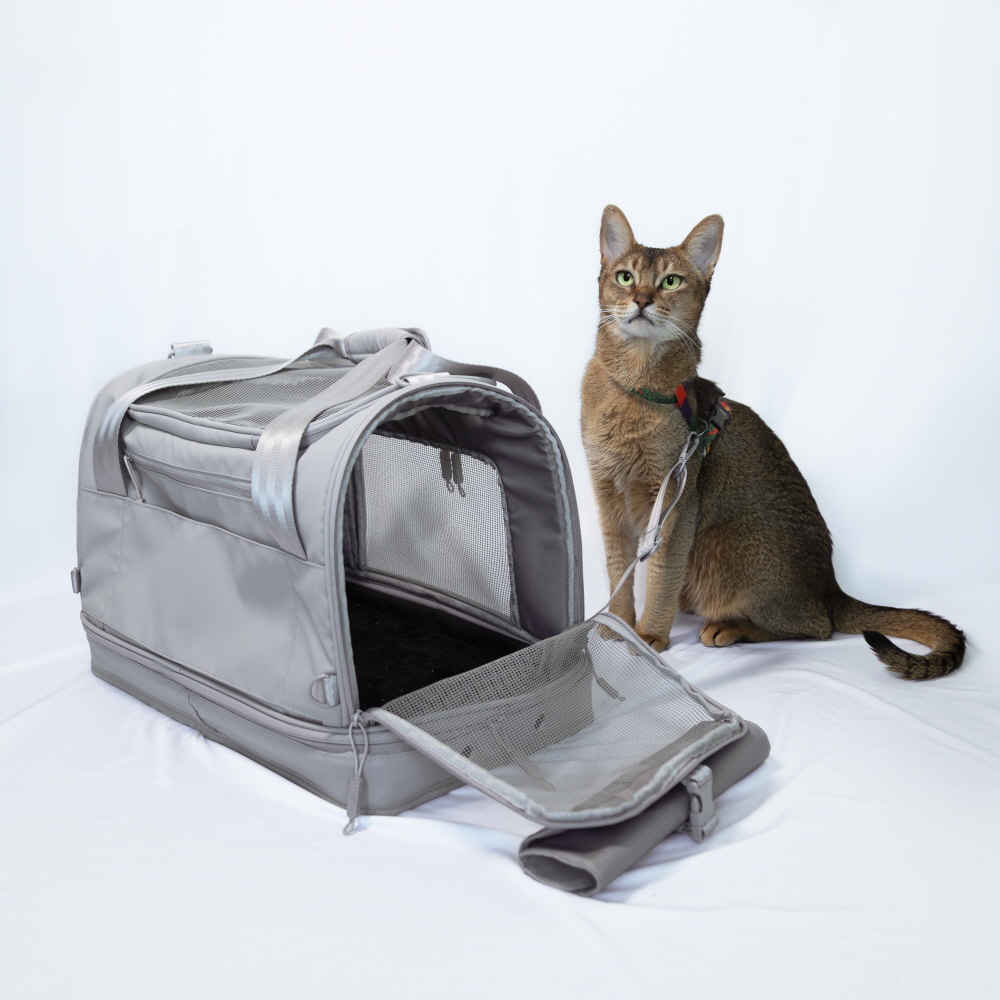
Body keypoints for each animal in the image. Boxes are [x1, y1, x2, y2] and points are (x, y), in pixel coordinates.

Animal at [580, 205, 965, 679]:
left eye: (671, 281)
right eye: (625, 277)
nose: (641, 300)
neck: (634, 390)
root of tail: (832, 587)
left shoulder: (677, 499)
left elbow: (661, 571)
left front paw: (649, 636)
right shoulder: (606, 493)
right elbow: (618, 569)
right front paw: (615, 627)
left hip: (723, 541)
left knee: (817, 625)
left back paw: (728, 627)